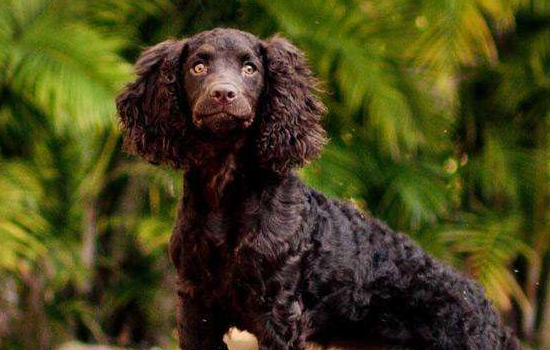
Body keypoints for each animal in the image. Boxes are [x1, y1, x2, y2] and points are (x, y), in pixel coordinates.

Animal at [115, 28, 520, 350]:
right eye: (198, 67)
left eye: (250, 68)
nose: (223, 94)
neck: (225, 192)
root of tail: (493, 316)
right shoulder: (196, 306)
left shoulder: (279, 312)